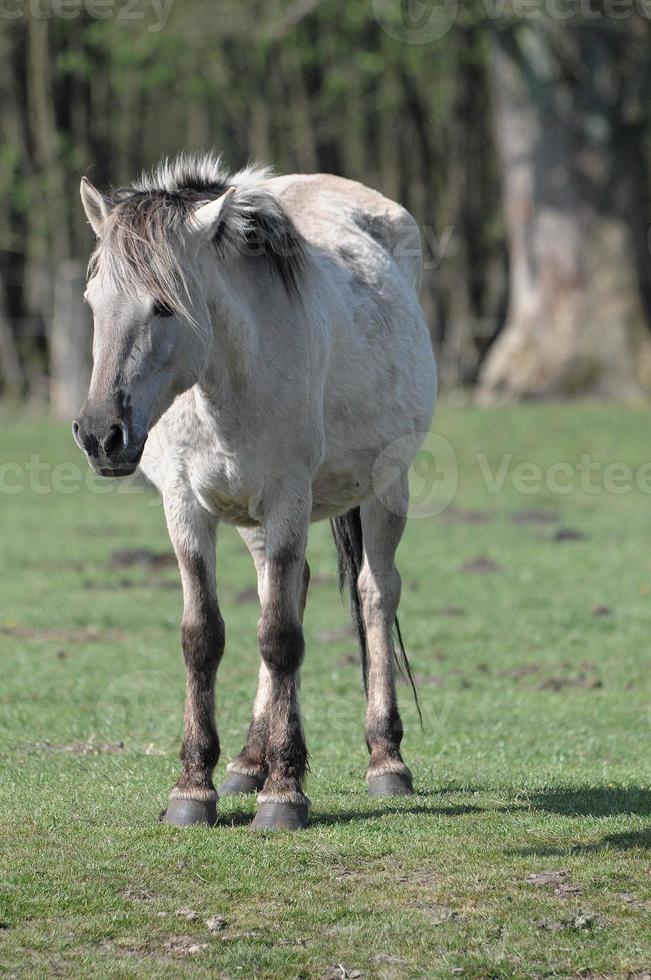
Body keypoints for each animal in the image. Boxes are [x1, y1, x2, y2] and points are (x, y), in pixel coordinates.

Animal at [74, 155, 436, 828]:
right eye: (93, 300)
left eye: (164, 307)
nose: (100, 435)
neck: (227, 377)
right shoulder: (187, 508)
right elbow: (204, 636)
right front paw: (195, 788)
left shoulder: (289, 497)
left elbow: (280, 637)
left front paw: (285, 794)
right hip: (251, 518)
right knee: (288, 585)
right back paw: (249, 760)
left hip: (385, 488)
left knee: (375, 594)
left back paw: (385, 761)